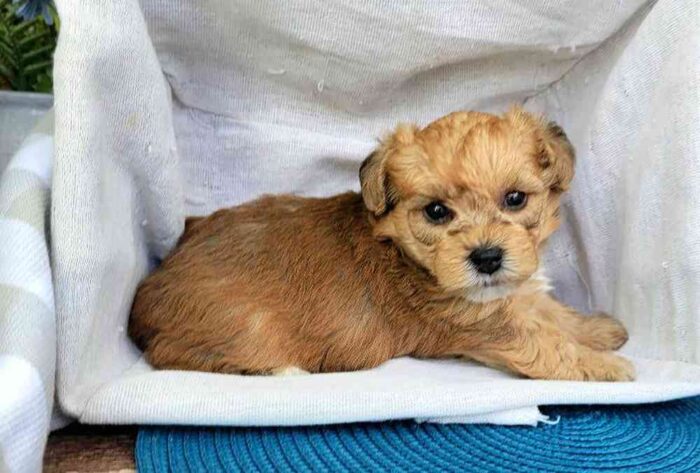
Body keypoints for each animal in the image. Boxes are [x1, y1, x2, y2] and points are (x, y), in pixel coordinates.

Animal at [127, 107, 636, 380]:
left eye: (515, 199)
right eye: (436, 212)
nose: (488, 258)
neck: (410, 257)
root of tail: (150, 287)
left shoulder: (511, 297)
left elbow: (552, 314)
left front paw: (600, 331)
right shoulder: (486, 328)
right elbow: (547, 346)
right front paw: (606, 367)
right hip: (240, 326)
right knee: (171, 356)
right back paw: (282, 371)